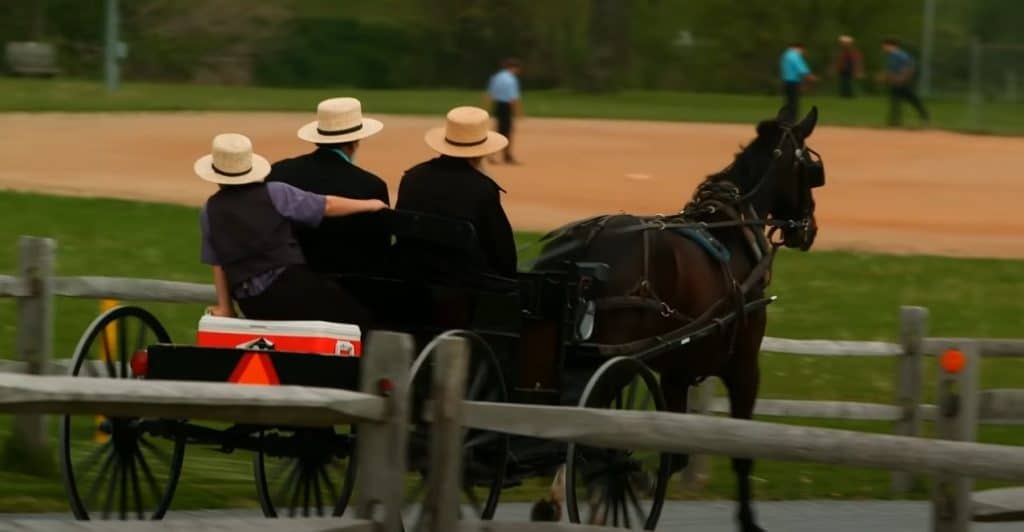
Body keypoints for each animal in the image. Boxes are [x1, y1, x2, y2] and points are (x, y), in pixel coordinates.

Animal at [536, 105, 823, 527]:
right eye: (811, 169)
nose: (809, 228)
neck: (734, 229)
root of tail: (585, 241)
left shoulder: (676, 373)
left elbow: (676, 451)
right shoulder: (743, 366)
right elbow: (737, 454)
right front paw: (746, 519)